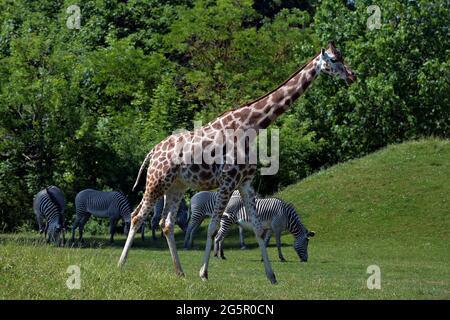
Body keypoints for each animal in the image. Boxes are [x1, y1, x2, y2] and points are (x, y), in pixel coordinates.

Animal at [118, 41, 356, 284]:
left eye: (342, 56)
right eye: (334, 59)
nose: (352, 76)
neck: (252, 125)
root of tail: (152, 151)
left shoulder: (245, 182)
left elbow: (259, 229)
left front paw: (272, 276)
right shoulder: (227, 180)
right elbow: (213, 227)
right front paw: (204, 273)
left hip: (176, 186)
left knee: (166, 224)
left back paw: (179, 271)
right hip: (157, 181)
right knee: (137, 216)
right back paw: (121, 265)